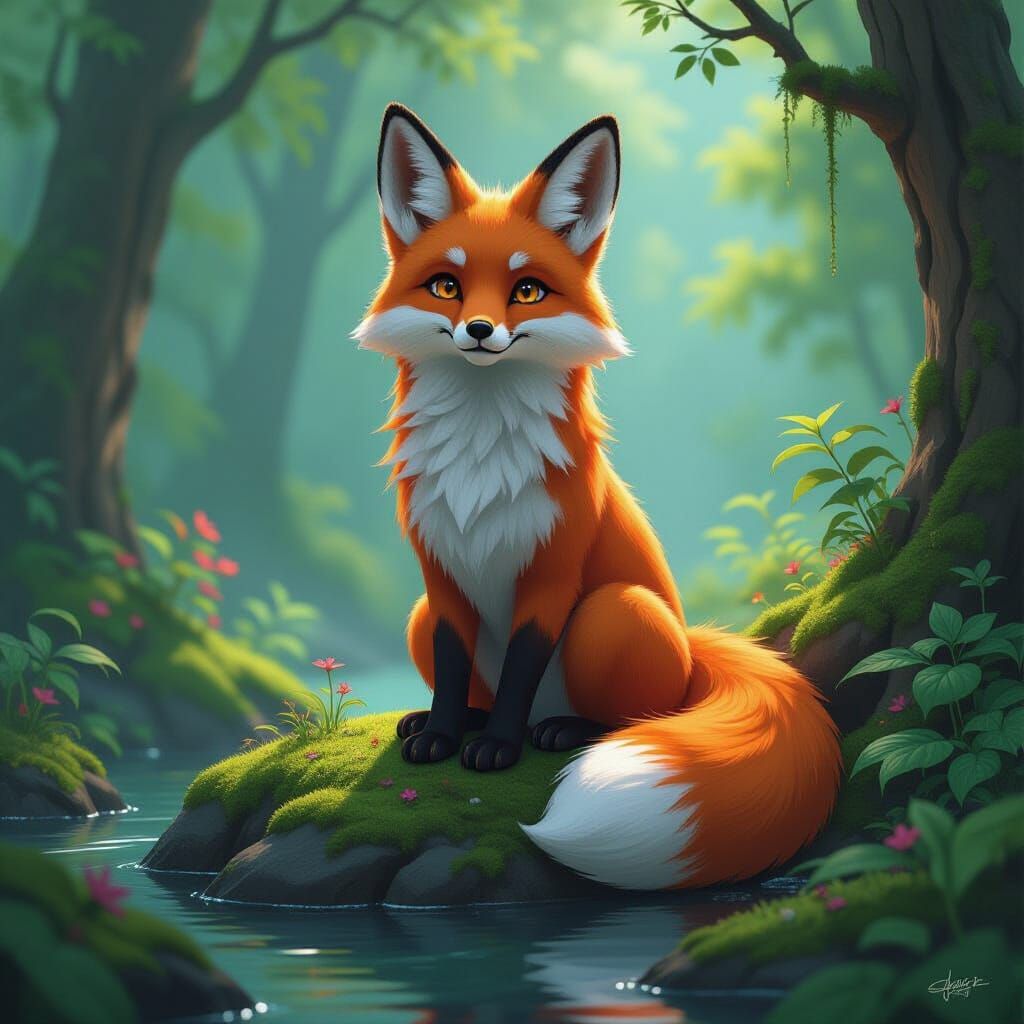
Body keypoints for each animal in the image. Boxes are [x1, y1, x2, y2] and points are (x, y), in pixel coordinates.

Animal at [353, 104, 841, 891]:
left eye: (526, 291)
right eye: (446, 287)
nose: (479, 331)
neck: (480, 464)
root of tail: (693, 642)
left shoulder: (552, 572)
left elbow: (522, 665)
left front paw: (496, 748)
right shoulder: (441, 574)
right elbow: (456, 668)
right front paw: (444, 732)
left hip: (616, 613)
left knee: (642, 715)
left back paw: (560, 730)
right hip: (417, 616)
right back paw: (436, 722)